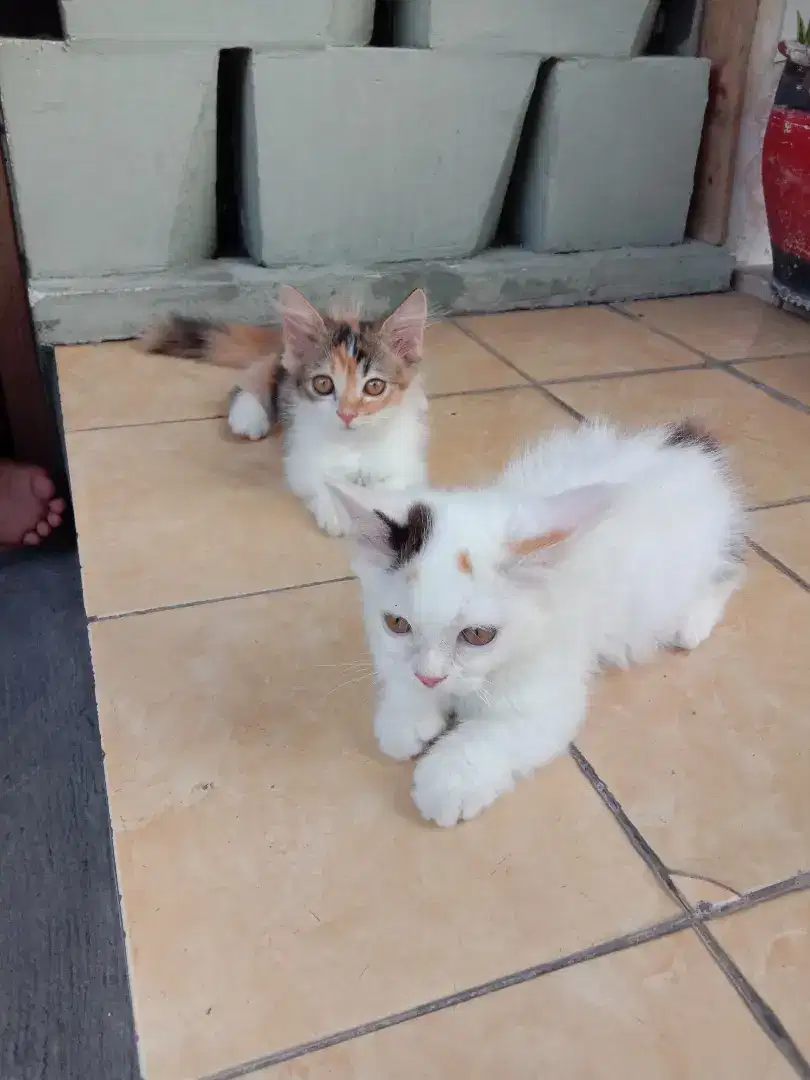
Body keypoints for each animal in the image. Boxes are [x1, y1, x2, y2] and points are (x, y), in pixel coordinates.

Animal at [143, 287, 432, 535]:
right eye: (323, 384)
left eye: (374, 386)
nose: (347, 414)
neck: (356, 445)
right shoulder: (300, 454)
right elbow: (320, 480)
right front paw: (337, 512)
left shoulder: (408, 463)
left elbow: (393, 487)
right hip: (281, 371)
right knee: (255, 375)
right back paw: (249, 416)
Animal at [330, 421, 747, 825]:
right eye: (397, 623)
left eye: (478, 635)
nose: (431, 678)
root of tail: (688, 449)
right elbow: (398, 675)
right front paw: (406, 715)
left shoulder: (549, 694)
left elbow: (495, 735)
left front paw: (446, 784)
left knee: (731, 574)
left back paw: (693, 623)